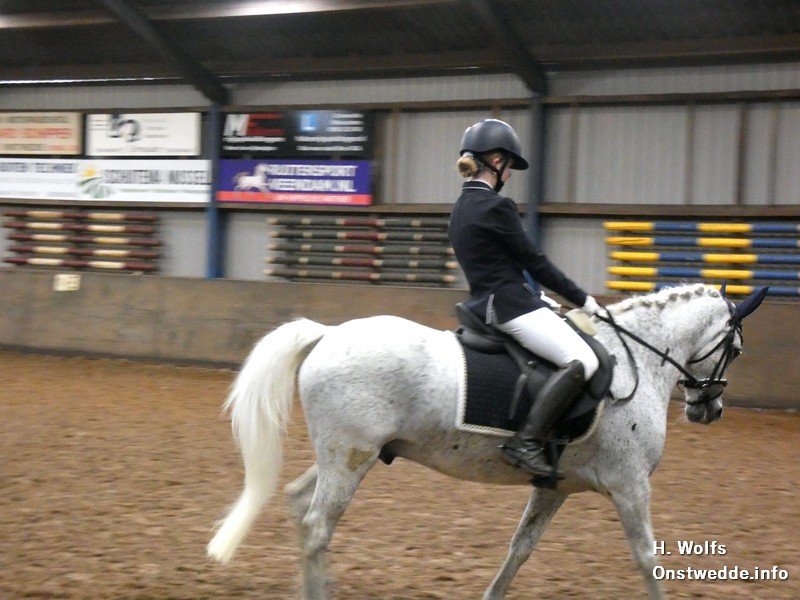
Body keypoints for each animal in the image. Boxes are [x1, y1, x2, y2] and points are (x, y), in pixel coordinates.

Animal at [207, 282, 766, 599]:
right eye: (736, 349)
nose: (708, 409)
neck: (638, 360)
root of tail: (328, 333)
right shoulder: (630, 486)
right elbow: (647, 557)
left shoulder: (555, 487)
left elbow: (520, 549)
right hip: (350, 459)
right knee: (318, 526)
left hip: (346, 457)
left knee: (299, 504)